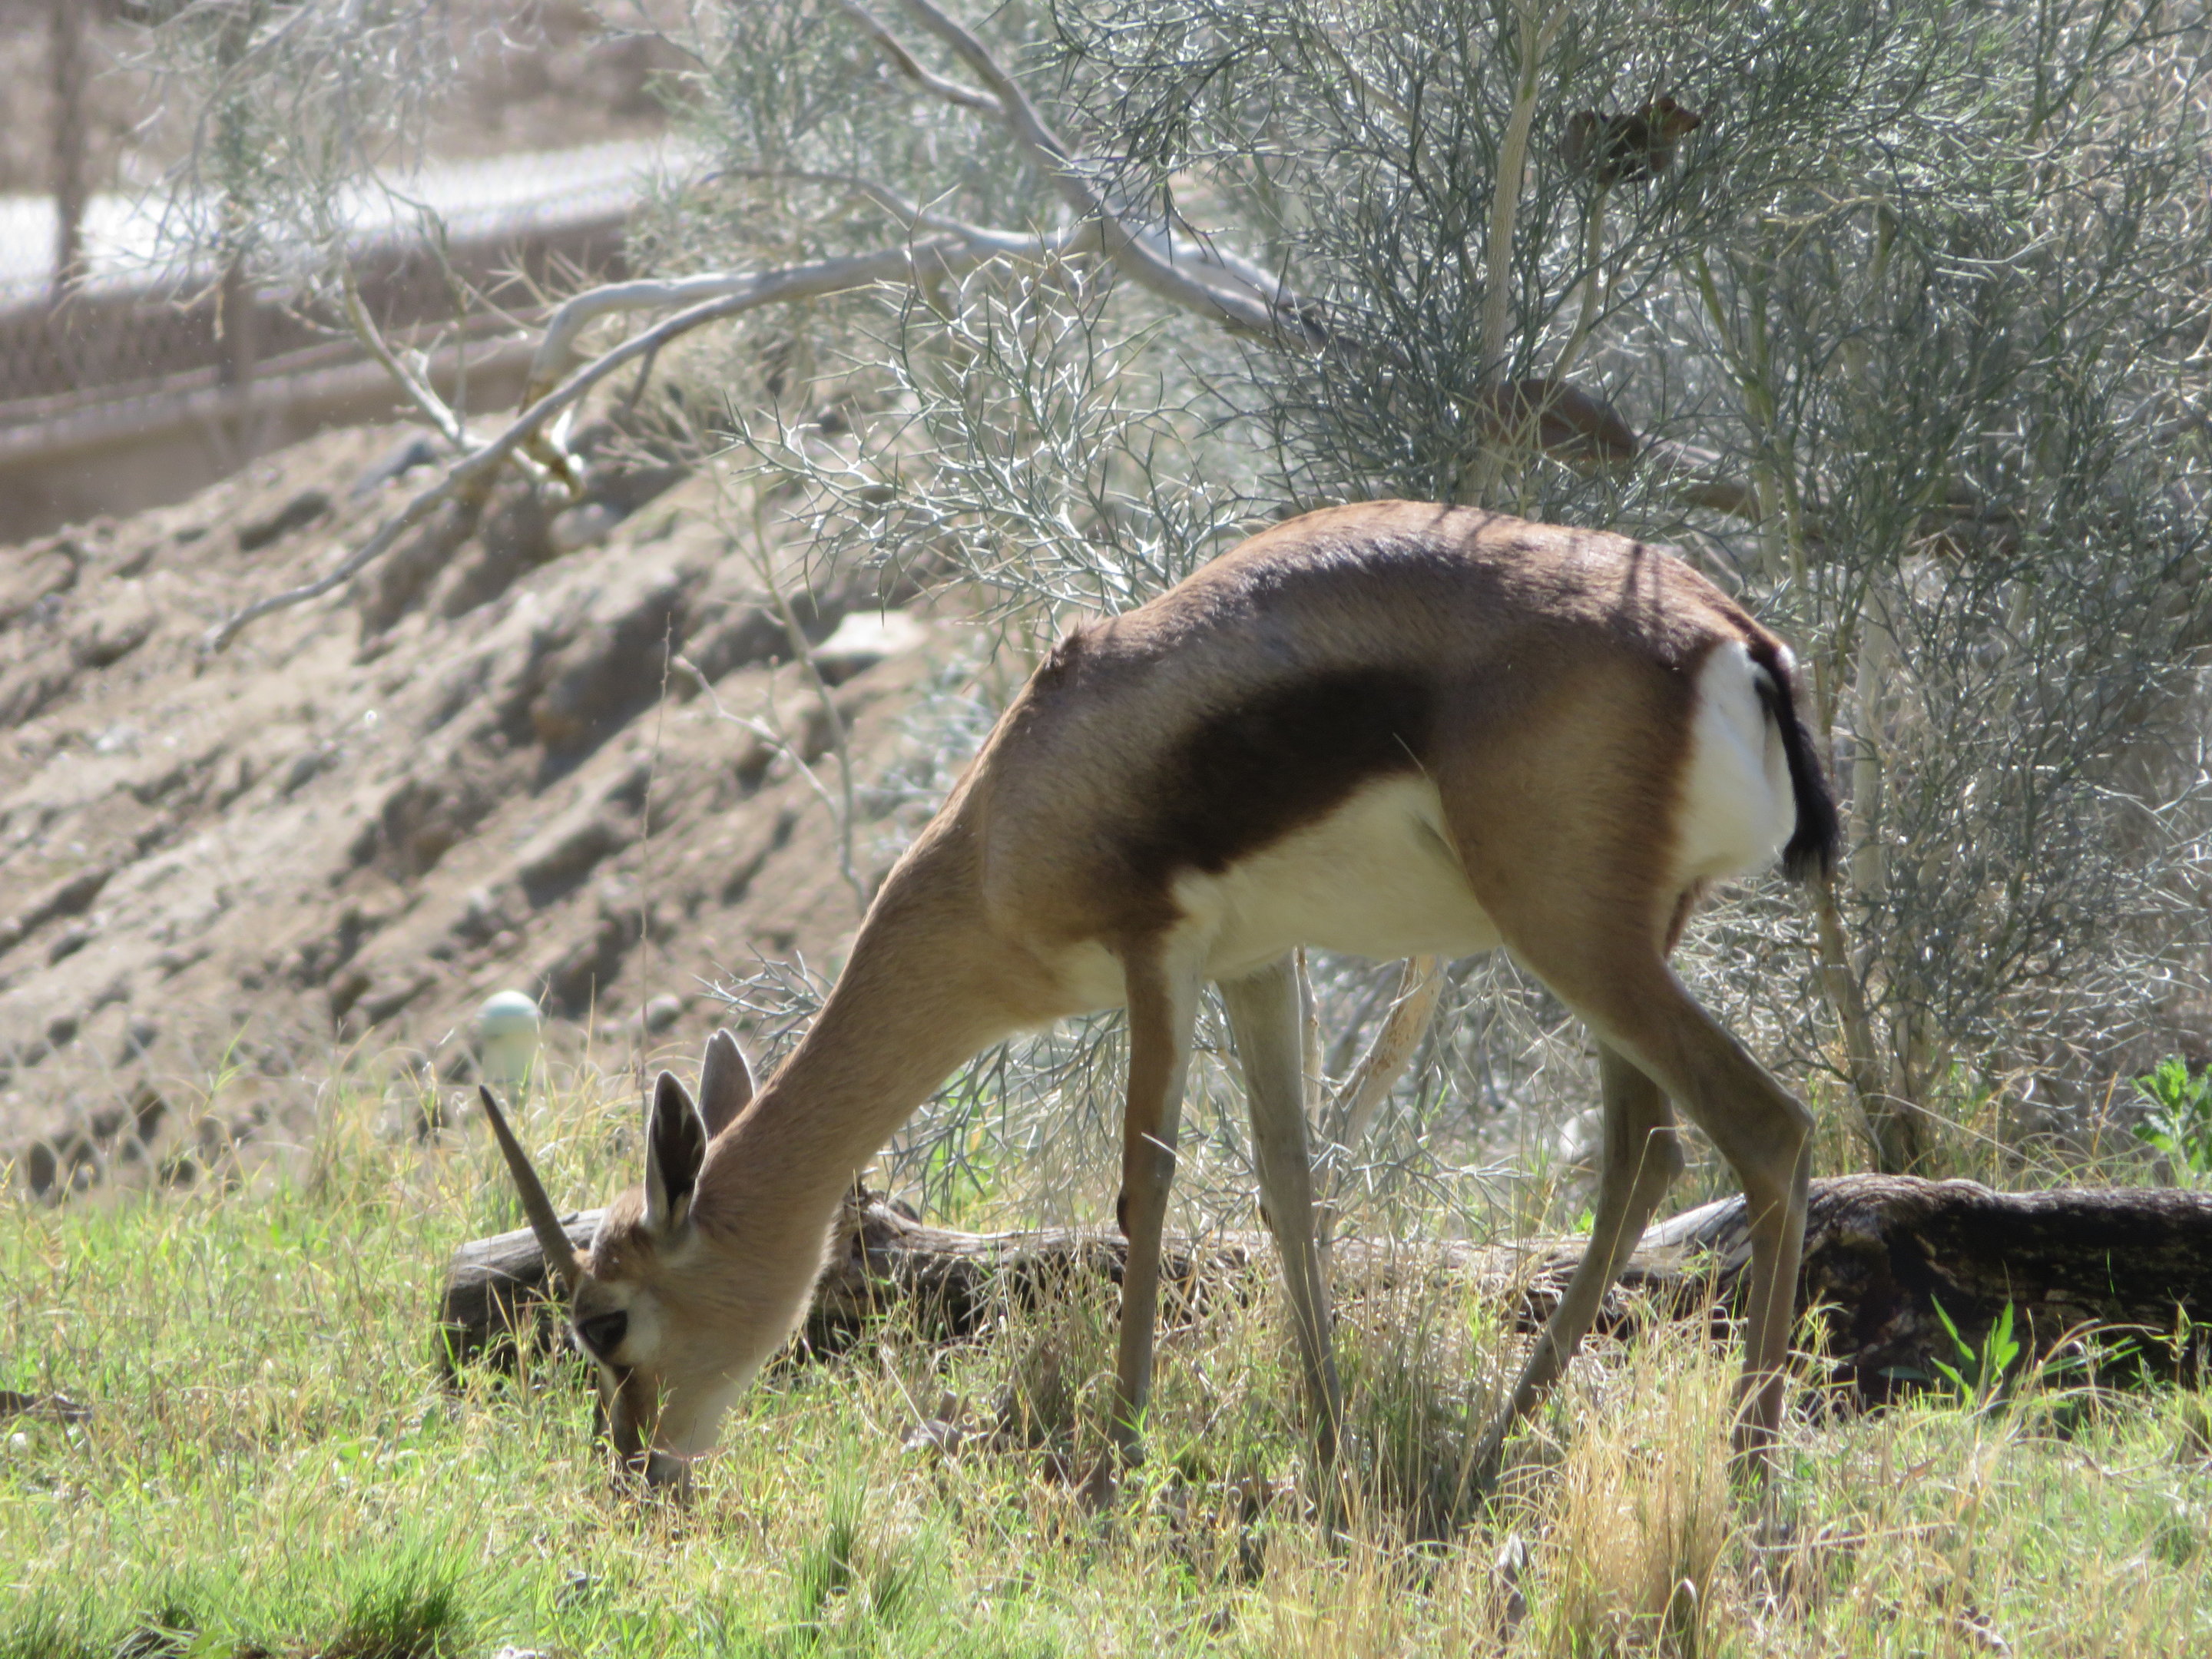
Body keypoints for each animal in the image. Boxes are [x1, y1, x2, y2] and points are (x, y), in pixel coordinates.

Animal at [483, 500, 1838, 1495]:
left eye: (604, 1319)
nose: (636, 1467)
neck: (1008, 812)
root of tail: (1736, 640)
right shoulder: (1253, 963)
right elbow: (1290, 1187)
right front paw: (1328, 1439)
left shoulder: (1155, 953)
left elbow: (1148, 1187)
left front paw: (1116, 1453)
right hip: (1618, 947)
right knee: (1647, 1150)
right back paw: (1497, 1448)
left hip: (1572, 941)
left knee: (1764, 1129)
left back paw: (1749, 1474)